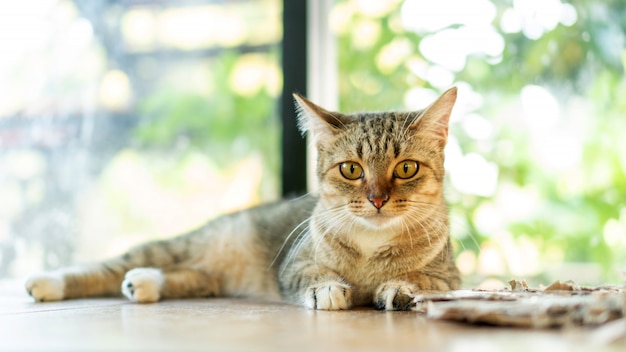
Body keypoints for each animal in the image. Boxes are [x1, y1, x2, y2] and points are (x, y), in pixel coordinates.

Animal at [24, 88, 460, 310]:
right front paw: (327, 288)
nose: (377, 199)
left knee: (186, 277)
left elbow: (424, 279)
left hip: (206, 276)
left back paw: (144, 283)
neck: (372, 248)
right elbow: (312, 275)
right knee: (112, 266)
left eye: (406, 168)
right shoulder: (293, 265)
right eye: (351, 170)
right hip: (179, 245)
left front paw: (400, 288)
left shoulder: (448, 276)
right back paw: (48, 281)